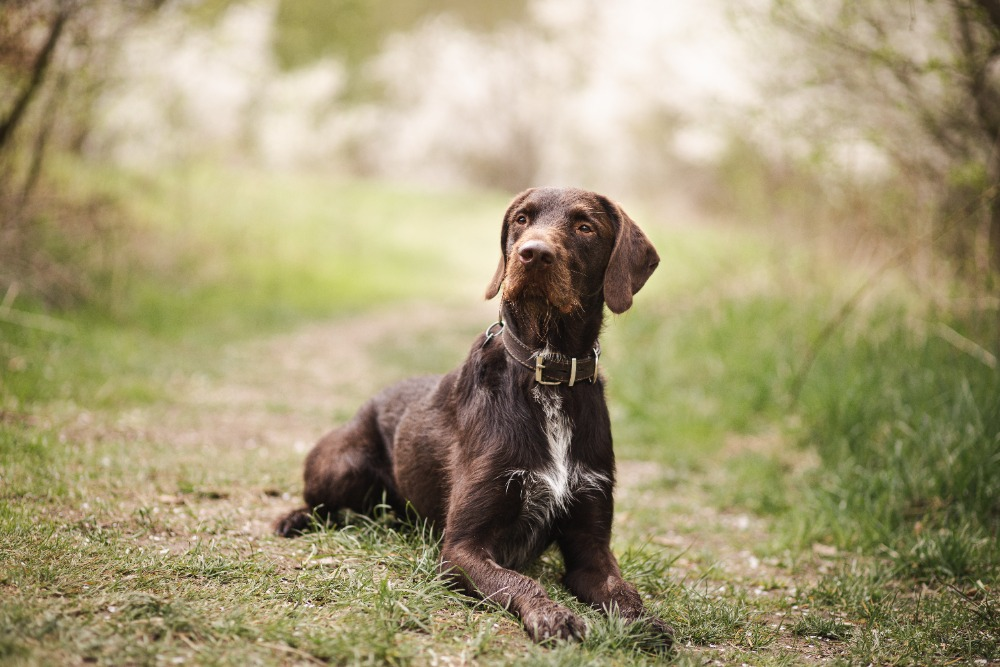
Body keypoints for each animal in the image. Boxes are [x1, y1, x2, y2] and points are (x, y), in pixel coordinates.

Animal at [278, 188, 676, 648]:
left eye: (585, 226)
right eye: (522, 219)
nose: (533, 253)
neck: (548, 371)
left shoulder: (591, 548)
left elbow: (621, 589)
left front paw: (644, 621)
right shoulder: (460, 550)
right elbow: (522, 581)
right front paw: (553, 615)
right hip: (343, 465)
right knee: (318, 501)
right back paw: (293, 518)